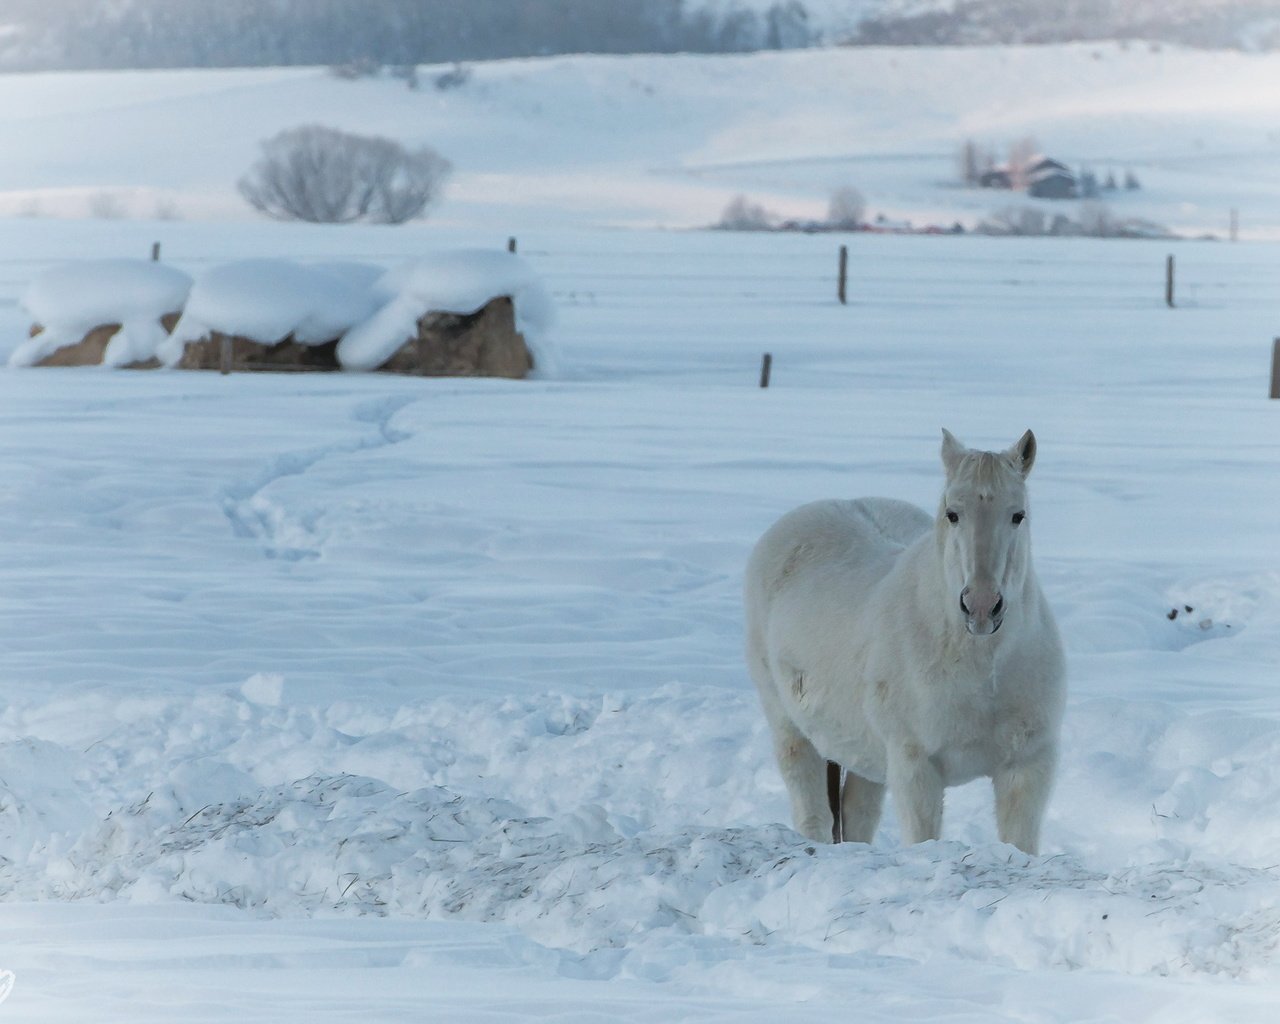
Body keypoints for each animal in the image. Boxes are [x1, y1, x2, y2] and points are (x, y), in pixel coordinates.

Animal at [747, 427, 1064, 849]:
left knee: (857, 814)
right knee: (812, 812)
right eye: (952, 513)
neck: (983, 667)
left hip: (863, 752)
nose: (981, 606)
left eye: (1018, 515)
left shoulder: (1027, 766)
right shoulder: (915, 767)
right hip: (790, 728)